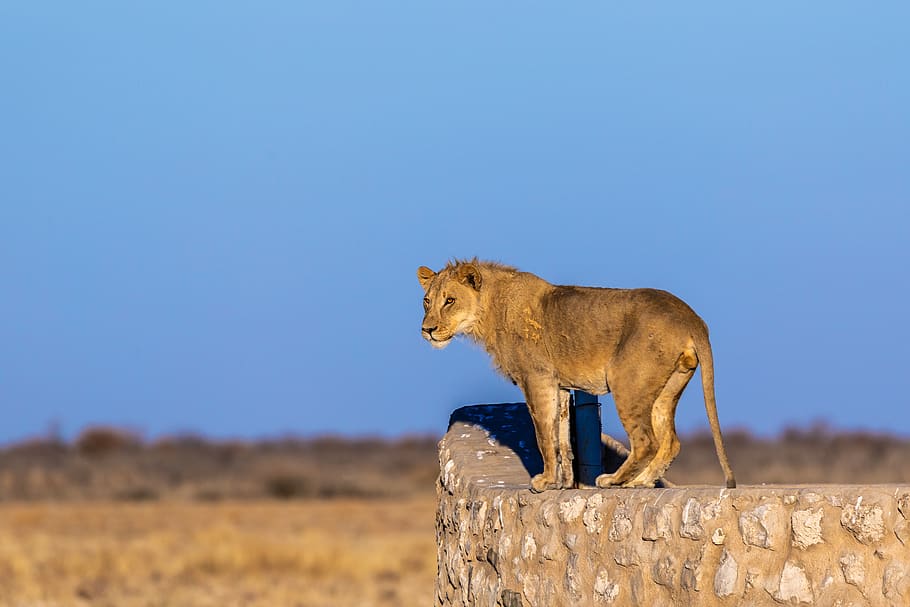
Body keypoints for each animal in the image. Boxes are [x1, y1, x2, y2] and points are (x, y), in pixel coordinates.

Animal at [416, 258, 736, 492]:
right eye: (426, 301)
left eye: (450, 301)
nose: (427, 329)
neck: (491, 309)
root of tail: (691, 317)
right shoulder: (558, 385)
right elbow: (562, 438)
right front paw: (563, 483)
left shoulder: (537, 378)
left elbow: (543, 435)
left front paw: (544, 482)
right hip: (667, 388)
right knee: (670, 441)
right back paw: (639, 482)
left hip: (626, 381)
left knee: (647, 440)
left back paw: (614, 480)